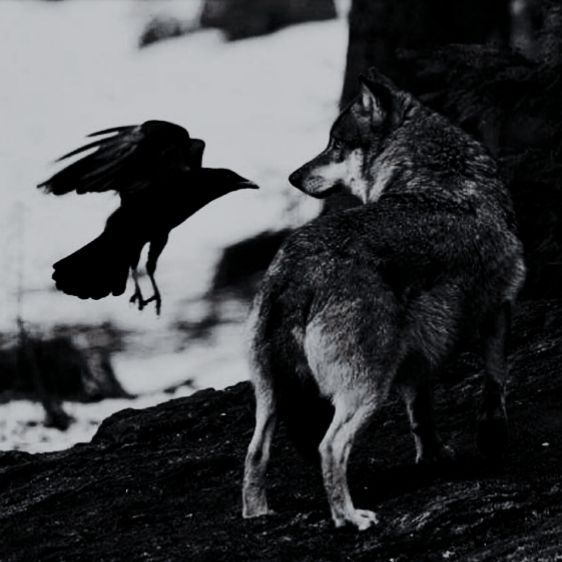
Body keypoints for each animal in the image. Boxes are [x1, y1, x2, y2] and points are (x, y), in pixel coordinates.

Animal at [242, 68, 524, 528]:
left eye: (336, 145)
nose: (293, 177)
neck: (437, 170)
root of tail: (295, 272)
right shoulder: (499, 307)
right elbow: (494, 382)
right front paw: (493, 439)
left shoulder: (419, 353)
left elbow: (421, 415)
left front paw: (434, 458)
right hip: (367, 390)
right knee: (329, 447)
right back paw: (350, 518)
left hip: (271, 398)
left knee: (254, 454)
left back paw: (258, 515)